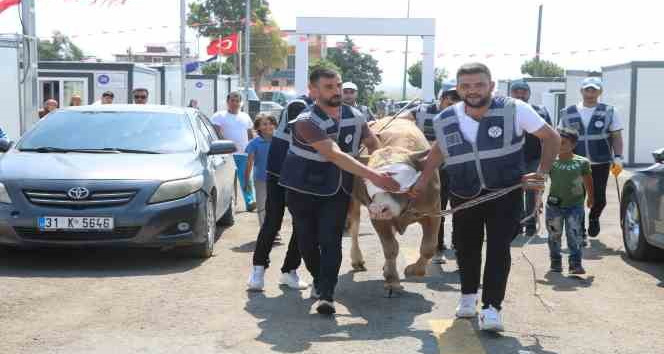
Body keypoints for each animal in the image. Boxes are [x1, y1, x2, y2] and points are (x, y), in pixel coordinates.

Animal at [348, 117, 440, 294]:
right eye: (368, 178)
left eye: (396, 178)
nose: (379, 208)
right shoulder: (377, 218)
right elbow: (390, 247)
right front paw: (392, 280)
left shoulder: (433, 213)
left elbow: (429, 247)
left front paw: (415, 270)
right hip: (353, 202)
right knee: (354, 228)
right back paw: (357, 259)